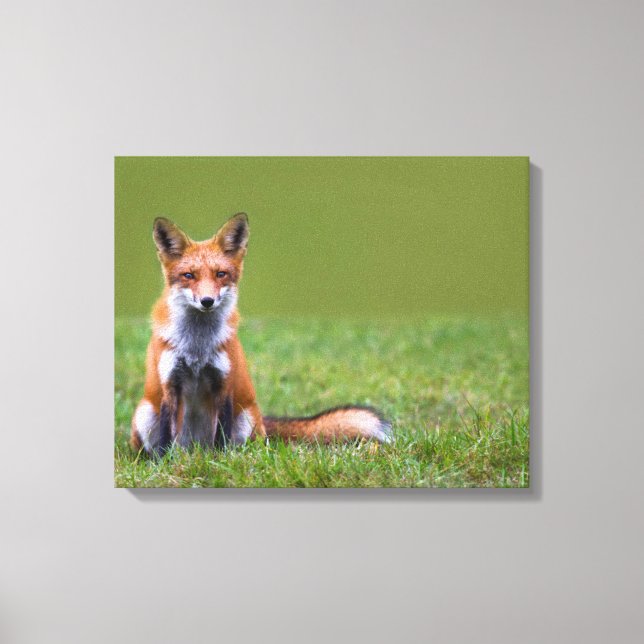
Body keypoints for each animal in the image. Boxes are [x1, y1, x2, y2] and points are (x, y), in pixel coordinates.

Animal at [130, 213, 392, 454]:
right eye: (189, 276)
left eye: (220, 274)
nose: (207, 301)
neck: (197, 347)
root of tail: (196, 448)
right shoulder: (169, 384)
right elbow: (165, 436)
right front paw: (164, 463)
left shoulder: (224, 383)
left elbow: (222, 435)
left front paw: (221, 460)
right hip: (145, 413)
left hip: (247, 419)